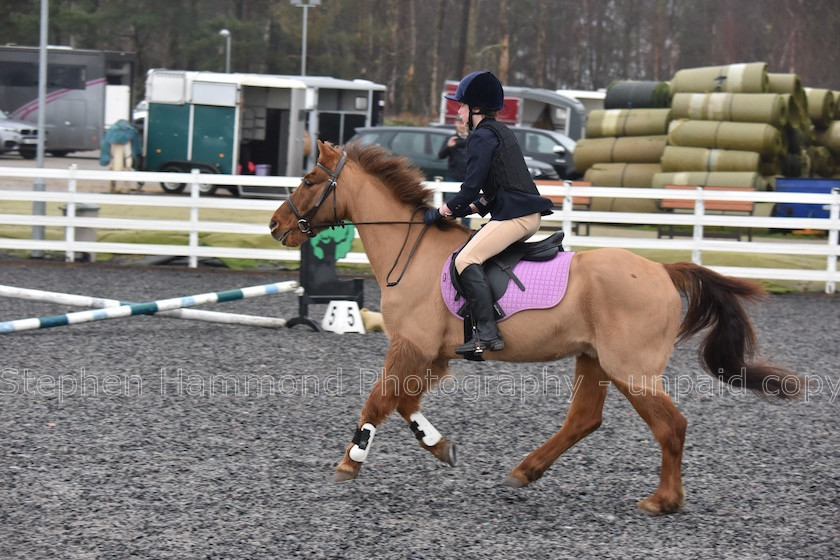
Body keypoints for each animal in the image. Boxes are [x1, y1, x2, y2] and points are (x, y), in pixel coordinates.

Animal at [270, 141, 800, 516]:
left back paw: (662, 501)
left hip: (631, 369)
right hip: (594, 360)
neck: (412, 252)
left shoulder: (412, 346)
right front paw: (440, 447)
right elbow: (404, 403)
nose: (276, 226)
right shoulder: (430, 353)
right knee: (584, 420)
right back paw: (525, 472)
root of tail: (663, 271)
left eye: (311, 179)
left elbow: (380, 400)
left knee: (671, 425)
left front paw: (349, 462)